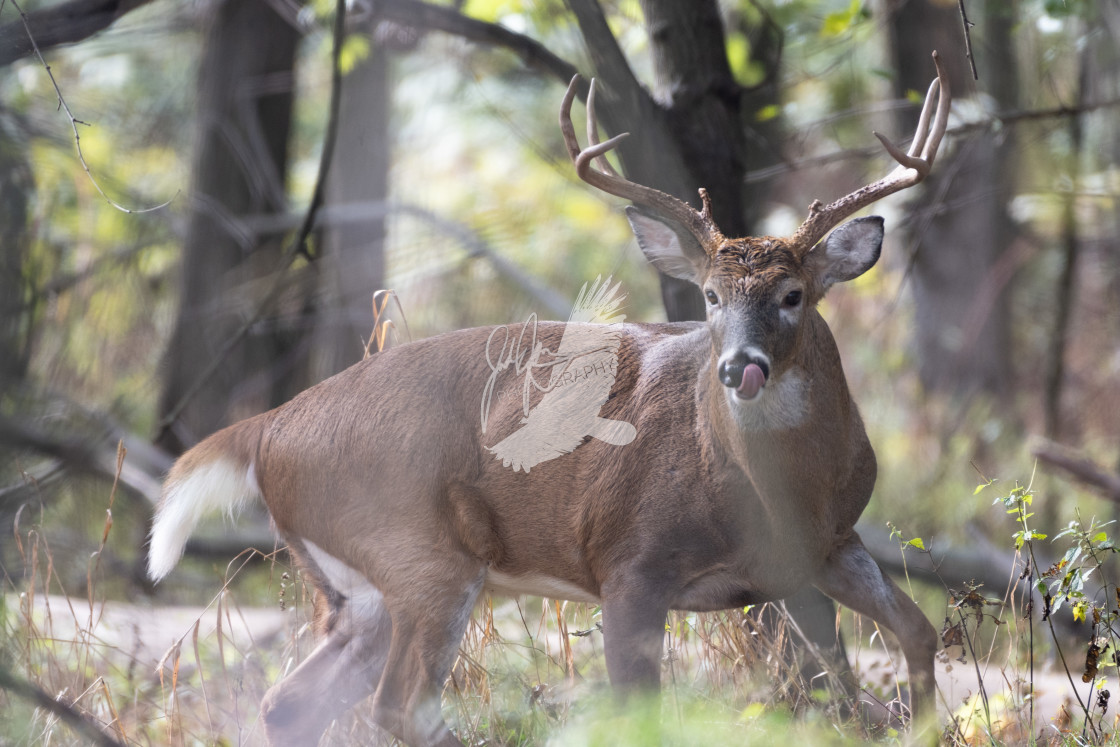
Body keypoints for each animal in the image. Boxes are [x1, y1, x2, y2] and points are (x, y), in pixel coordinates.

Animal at [146, 54, 954, 747]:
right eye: (710, 296)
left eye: (793, 295)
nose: (738, 368)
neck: (774, 491)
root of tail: (265, 428)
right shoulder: (629, 562)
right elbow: (638, 711)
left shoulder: (828, 547)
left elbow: (915, 635)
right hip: (419, 550)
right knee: (397, 703)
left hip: (354, 583)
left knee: (291, 701)